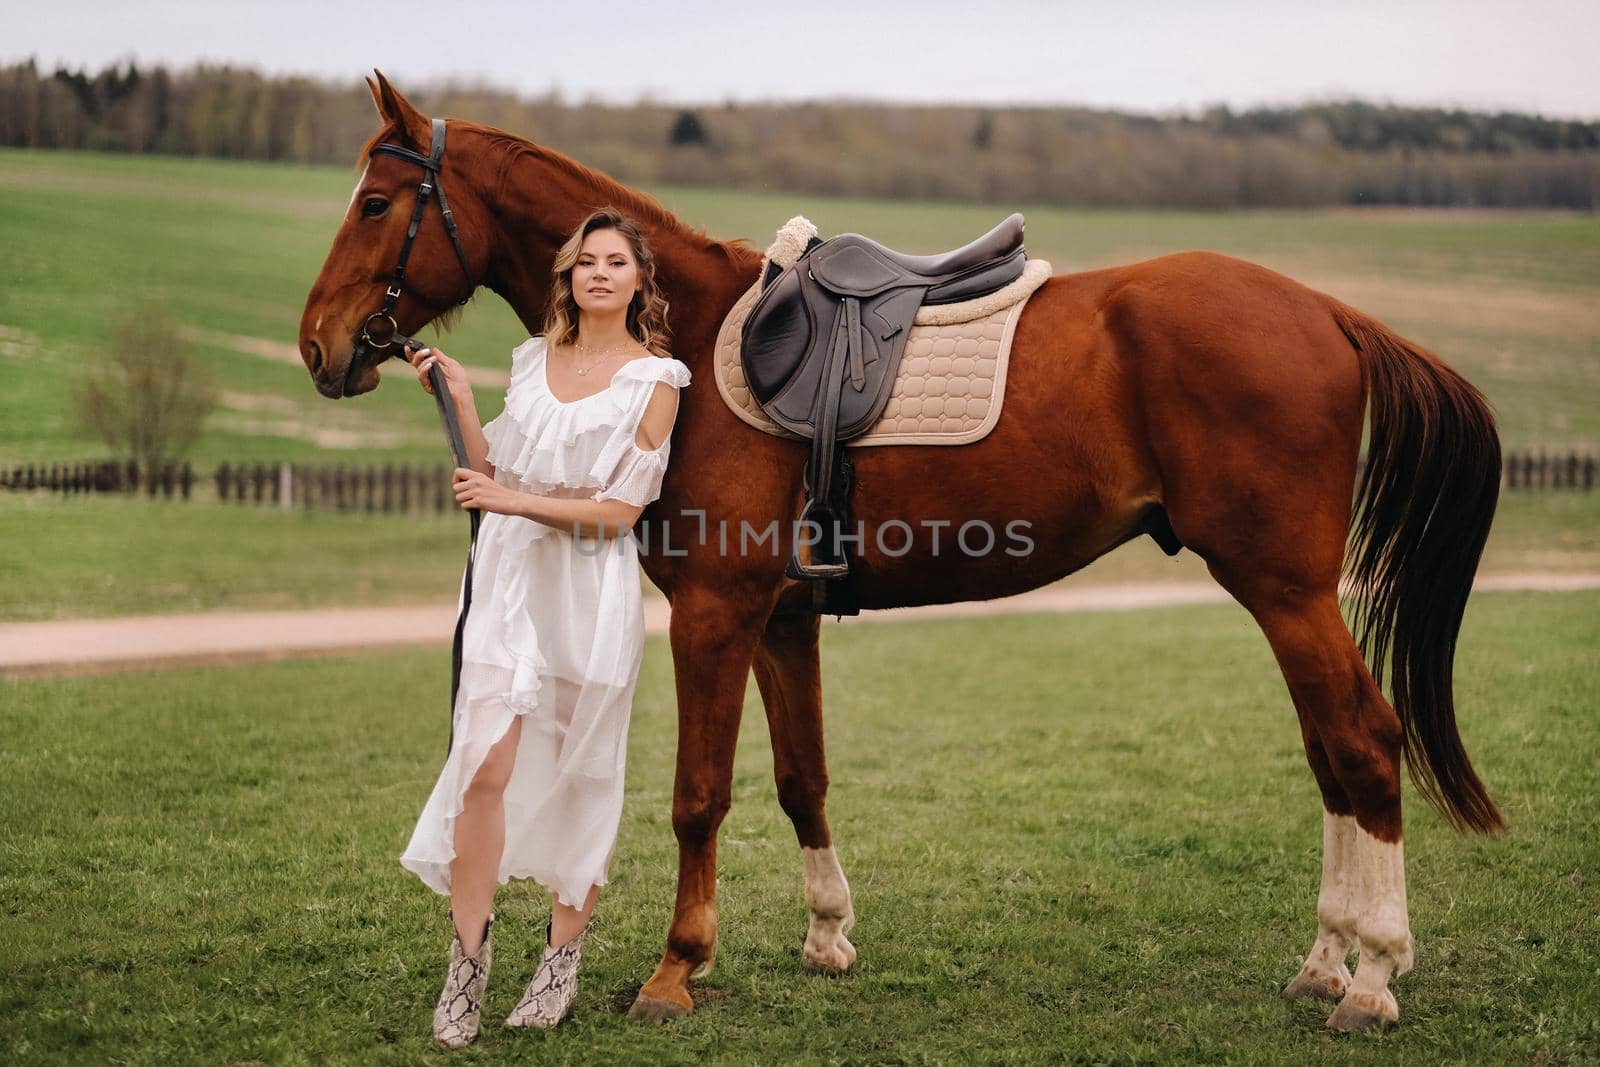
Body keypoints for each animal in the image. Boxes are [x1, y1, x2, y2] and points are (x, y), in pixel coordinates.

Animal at [297, 73, 1497, 1023]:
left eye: (375, 203)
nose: (319, 344)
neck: (686, 336)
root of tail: (1329, 313)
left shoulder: (713, 612)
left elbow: (698, 794)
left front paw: (676, 969)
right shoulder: (779, 617)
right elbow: (802, 777)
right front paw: (827, 934)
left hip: (1284, 588)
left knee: (1362, 741)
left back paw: (1372, 976)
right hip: (1285, 595)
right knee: (1331, 752)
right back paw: (1326, 960)